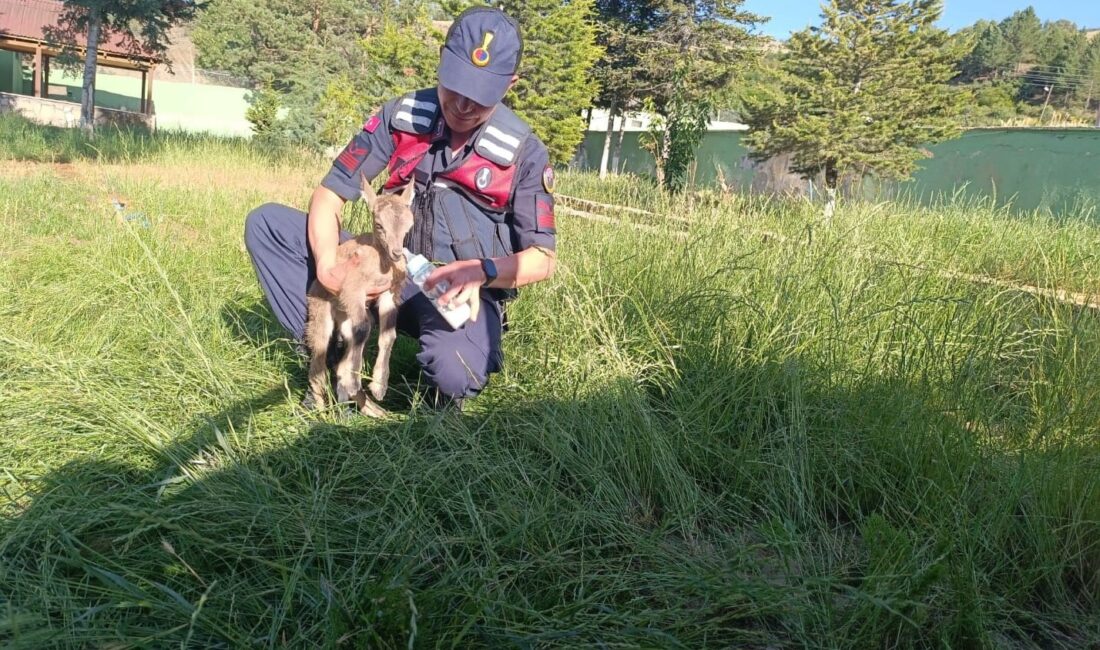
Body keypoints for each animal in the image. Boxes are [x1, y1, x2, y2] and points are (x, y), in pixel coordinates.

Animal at [303, 178, 413, 417]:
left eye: (409, 225)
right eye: (379, 224)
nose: (397, 253)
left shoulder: (389, 293)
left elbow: (388, 334)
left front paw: (379, 386)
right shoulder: (352, 288)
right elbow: (362, 328)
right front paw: (355, 382)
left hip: (345, 318)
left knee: (345, 349)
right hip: (321, 311)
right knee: (318, 361)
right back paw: (321, 410)